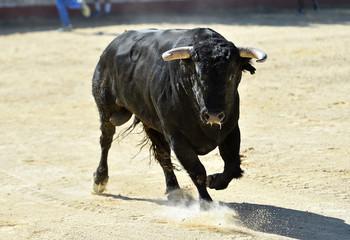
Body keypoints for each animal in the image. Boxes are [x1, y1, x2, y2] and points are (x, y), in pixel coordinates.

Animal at [91, 28, 266, 202]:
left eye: (231, 76)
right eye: (197, 76)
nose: (213, 115)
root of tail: (109, 49)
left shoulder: (231, 129)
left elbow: (232, 165)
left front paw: (214, 181)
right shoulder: (177, 137)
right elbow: (197, 170)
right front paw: (206, 202)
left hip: (150, 123)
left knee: (162, 155)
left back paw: (173, 189)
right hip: (106, 109)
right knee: (106, 140)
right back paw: (99, 180)